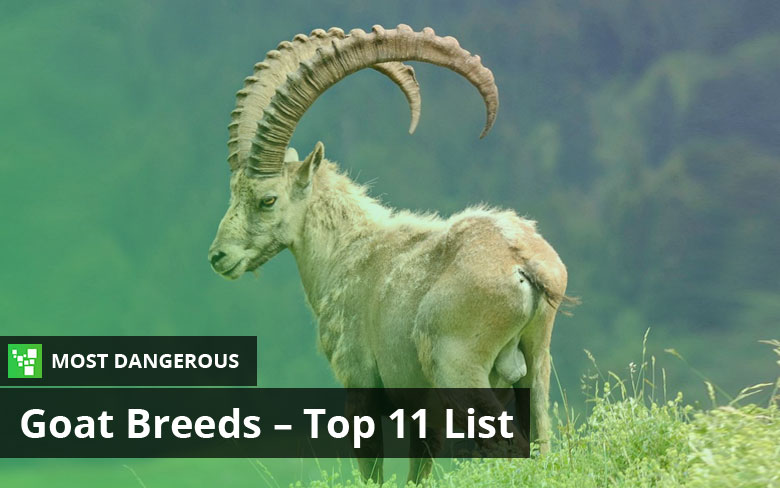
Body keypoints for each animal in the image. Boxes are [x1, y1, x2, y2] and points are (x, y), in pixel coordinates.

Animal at [208, 25, 568, 484]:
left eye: (267, 200)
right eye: (233, 191)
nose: (219, 256)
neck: (348, 251)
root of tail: (522, 262)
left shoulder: (360, 382)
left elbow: (372, 467)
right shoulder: (423, 412)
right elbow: (419, 468)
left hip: (460, 369)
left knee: (513, 449)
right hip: (537, 367)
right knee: (543, 446)